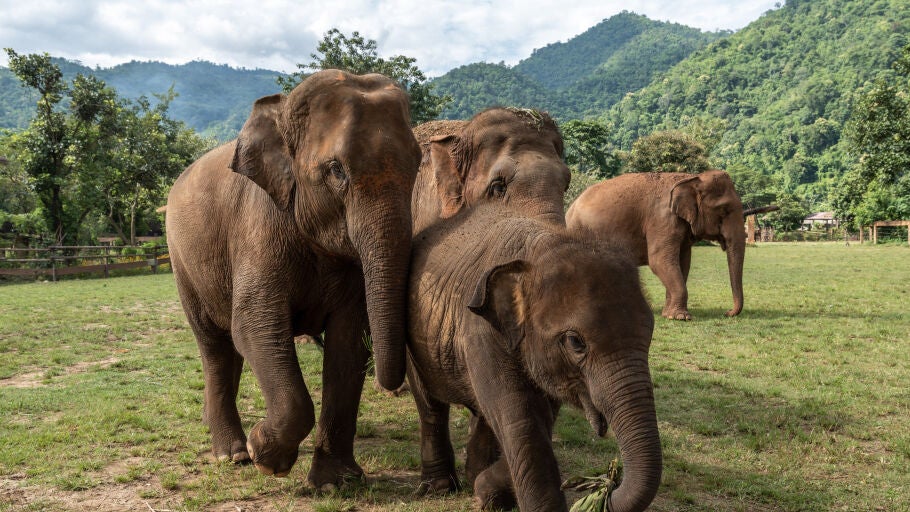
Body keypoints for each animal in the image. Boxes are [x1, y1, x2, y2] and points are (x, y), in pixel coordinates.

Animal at [165, 70, 421, 485]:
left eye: (417, 164)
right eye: (336, 170)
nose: (393, 387)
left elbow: (349, 341)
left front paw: (336, 482)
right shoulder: (258, 226)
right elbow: (255, 326)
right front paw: (264, 455)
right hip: (181, 261)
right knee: (214, 343)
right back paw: (232, 454)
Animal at [406, 202, 662, 512]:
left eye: (649, 332)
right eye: (575, 342)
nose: (608, 485)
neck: (539, 248)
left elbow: (541, 415)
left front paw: (485, 491)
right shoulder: (479, 331)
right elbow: (520, 417)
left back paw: (479, 480)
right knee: (430, 405)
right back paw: (441, 488)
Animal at [566, 170, 745, 321]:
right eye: (724, 210)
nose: (727, 313)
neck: (691, 178)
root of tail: (570, 208)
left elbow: (682, 262)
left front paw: (669, 315)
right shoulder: (662, 219)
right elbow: (659, 260)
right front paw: (682, 317)